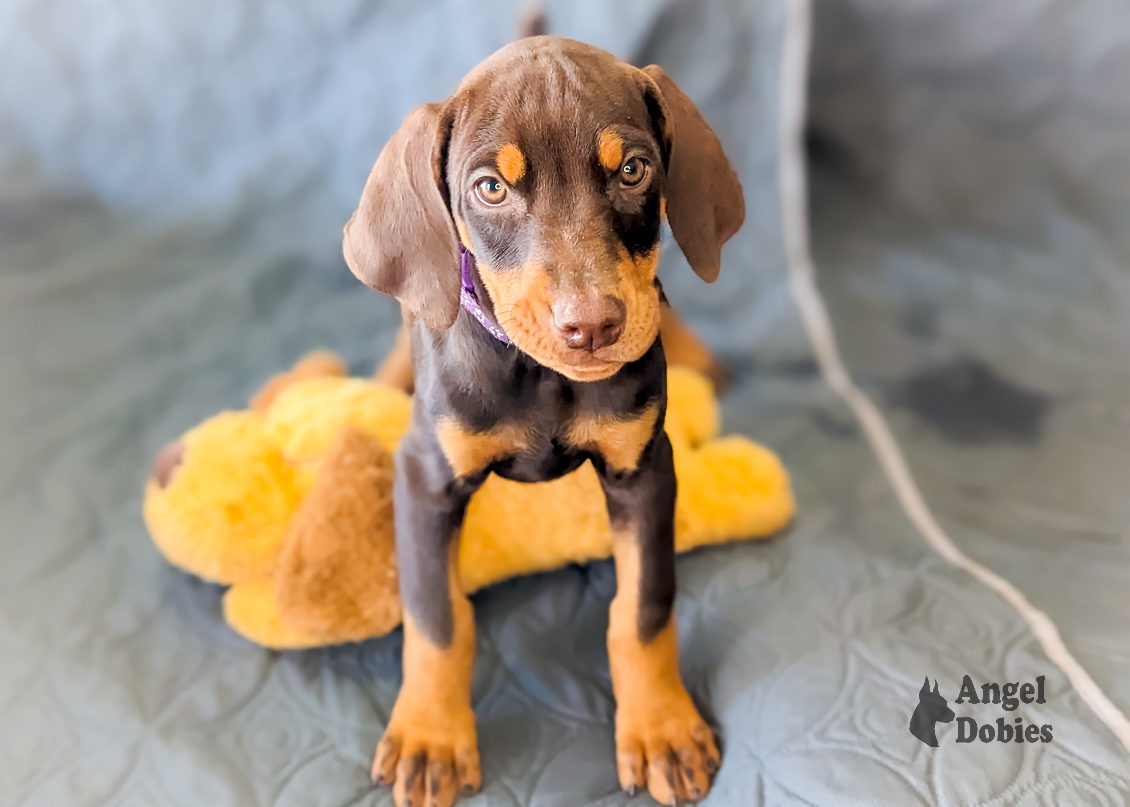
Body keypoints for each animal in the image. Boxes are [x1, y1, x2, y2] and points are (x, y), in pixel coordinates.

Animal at [343, 34, 750, 800]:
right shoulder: (425, 478)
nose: (591, 326)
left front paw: (661, 727)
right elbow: (437, 620)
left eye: (632, 170)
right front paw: (431, 738)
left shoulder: (644, 470)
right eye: (490, 189)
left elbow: (643, 609)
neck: (540, 380)